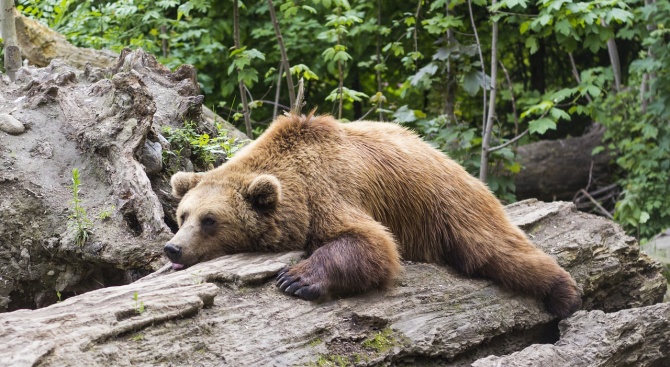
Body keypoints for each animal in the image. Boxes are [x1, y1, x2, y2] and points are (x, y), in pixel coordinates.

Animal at [167, 113, 584, 318]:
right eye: (182, 215)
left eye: (210, 220)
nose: (173, 248)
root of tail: (449, 159)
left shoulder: (330, 192)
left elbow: (372, 243)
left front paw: (296, 279)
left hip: (449, 206)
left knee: (497, 250)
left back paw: (565, 293)